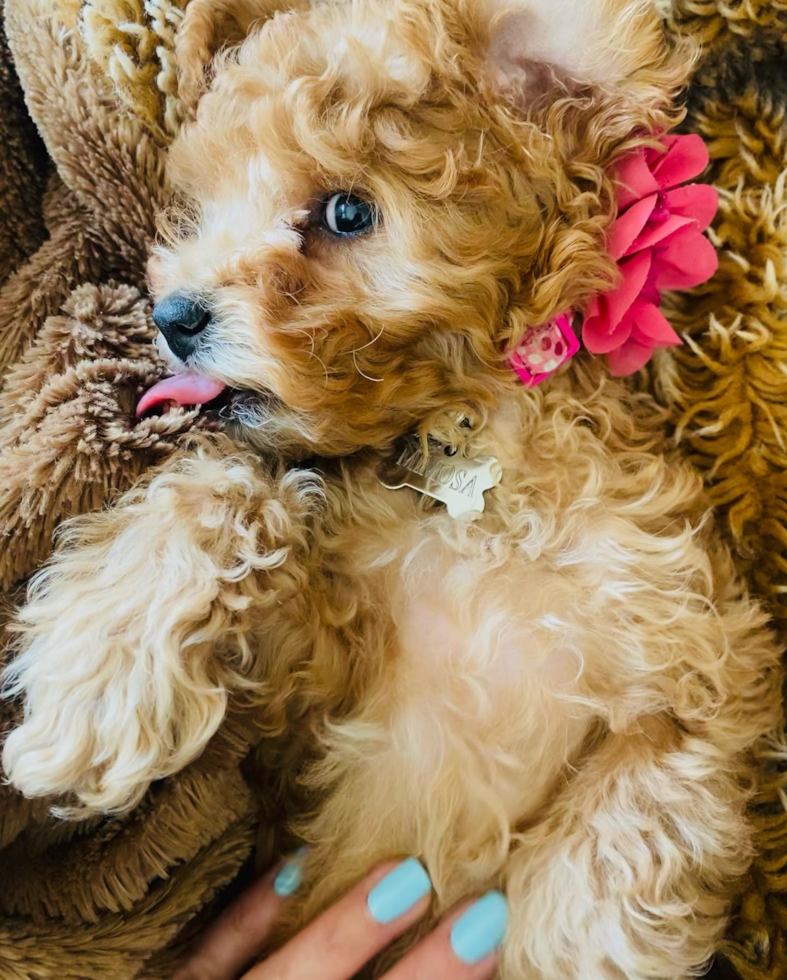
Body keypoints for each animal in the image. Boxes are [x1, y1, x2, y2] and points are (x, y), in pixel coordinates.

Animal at [3, 0, 784, 976]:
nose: (173, 315)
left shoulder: (697, 676)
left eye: (347, 211)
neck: (466, 456)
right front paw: (94, 681)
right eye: (208, 210)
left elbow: (622, 849)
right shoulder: (300, 701)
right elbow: (227, 479)